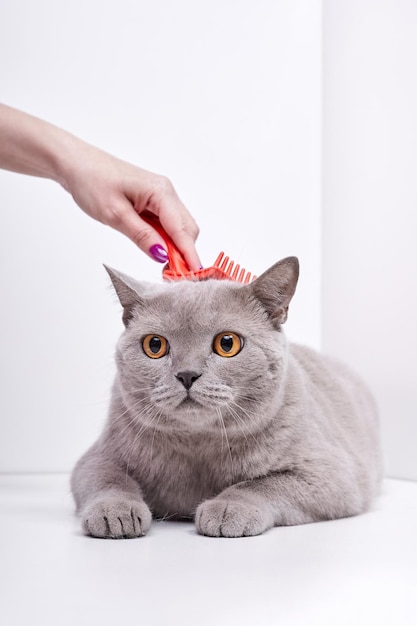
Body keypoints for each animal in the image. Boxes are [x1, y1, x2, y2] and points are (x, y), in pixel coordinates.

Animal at [71, 256, 380, 540]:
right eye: (155, 345)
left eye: (227, 343)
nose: (187, 375)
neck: (198, 447)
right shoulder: (96, 458)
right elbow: (109, 479)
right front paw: (114, 512)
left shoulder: (333, 473)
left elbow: (260, 484)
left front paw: (228, 509)